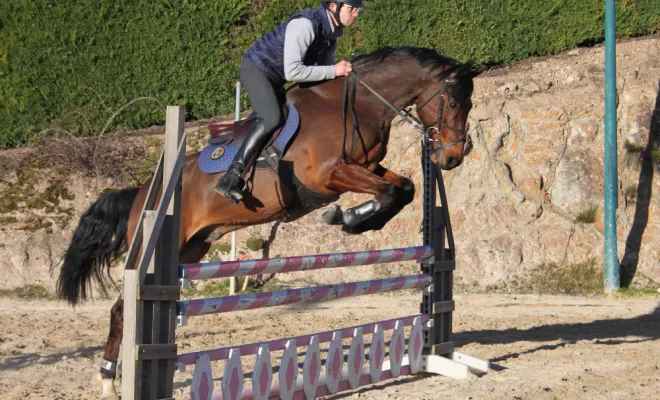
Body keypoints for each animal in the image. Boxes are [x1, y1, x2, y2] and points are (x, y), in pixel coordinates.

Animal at [55, 46, 482, 399]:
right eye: (452, 100)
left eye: (471, 102)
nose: (451, 159)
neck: (358, 104)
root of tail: (144, 190)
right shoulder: (327, 175)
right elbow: (391, 192)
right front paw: (345, 218)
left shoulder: (367, 167)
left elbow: (405, 188)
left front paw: (354, 219)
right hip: (159, 245)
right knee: (120, 309)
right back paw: (108, 381)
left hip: (193, 248)